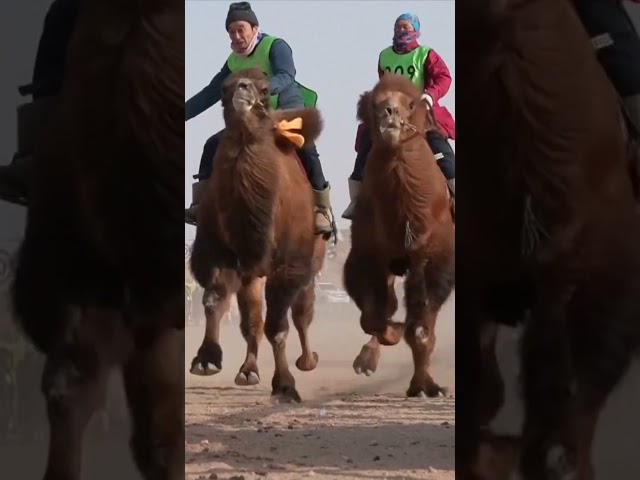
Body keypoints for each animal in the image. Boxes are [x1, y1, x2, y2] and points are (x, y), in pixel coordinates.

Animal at [188, 67, 324, 404]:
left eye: (265, 89)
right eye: (222, 89)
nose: (241, 88)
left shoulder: (289, 264)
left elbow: (278, 326)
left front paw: (285, 386)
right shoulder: (220, 252)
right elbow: (215, 300)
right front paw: (206, 359)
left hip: (312, 260)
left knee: (301, 312)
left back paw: (308, 360)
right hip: (254, 272)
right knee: (253, 318)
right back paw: (248, 370)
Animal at [344, 74, 456, 398]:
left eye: (411, 104)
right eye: (374, 103)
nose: (389, 113)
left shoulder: (434, 256)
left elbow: (420, 329)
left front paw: (425, 387)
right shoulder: (368, 253)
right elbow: (373, 316)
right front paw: (389, 333)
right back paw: (367, 358)